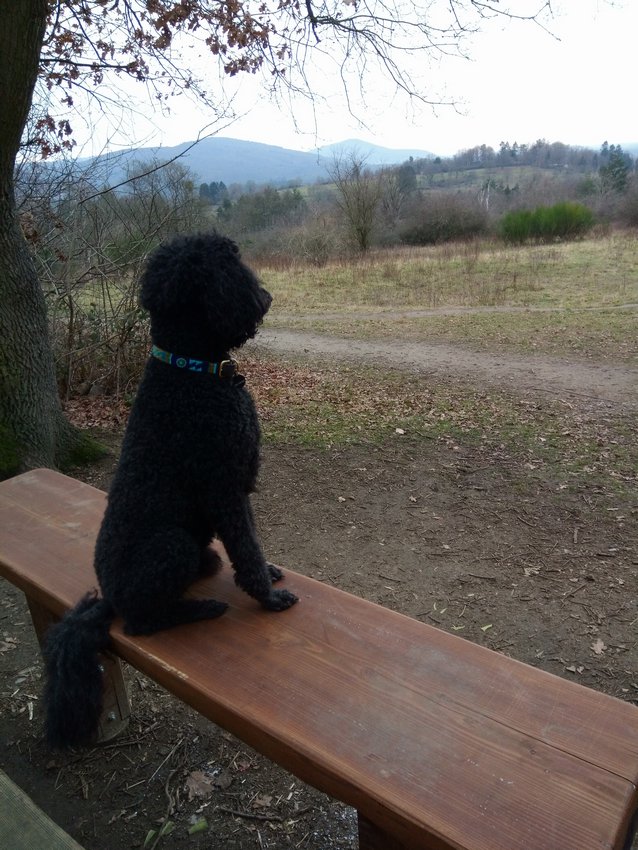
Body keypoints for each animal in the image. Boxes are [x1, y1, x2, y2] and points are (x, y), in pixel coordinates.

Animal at [45, 229, 300, 744]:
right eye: (229, 266)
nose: (265, 298)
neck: (189, 369)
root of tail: (109, 597)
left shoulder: (238, 486)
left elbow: (253, 540)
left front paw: (271, 572)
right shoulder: (225, 487)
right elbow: (247, 546)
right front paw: (268, 597)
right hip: (170, 543)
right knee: (143, 624)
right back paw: (202, 608)